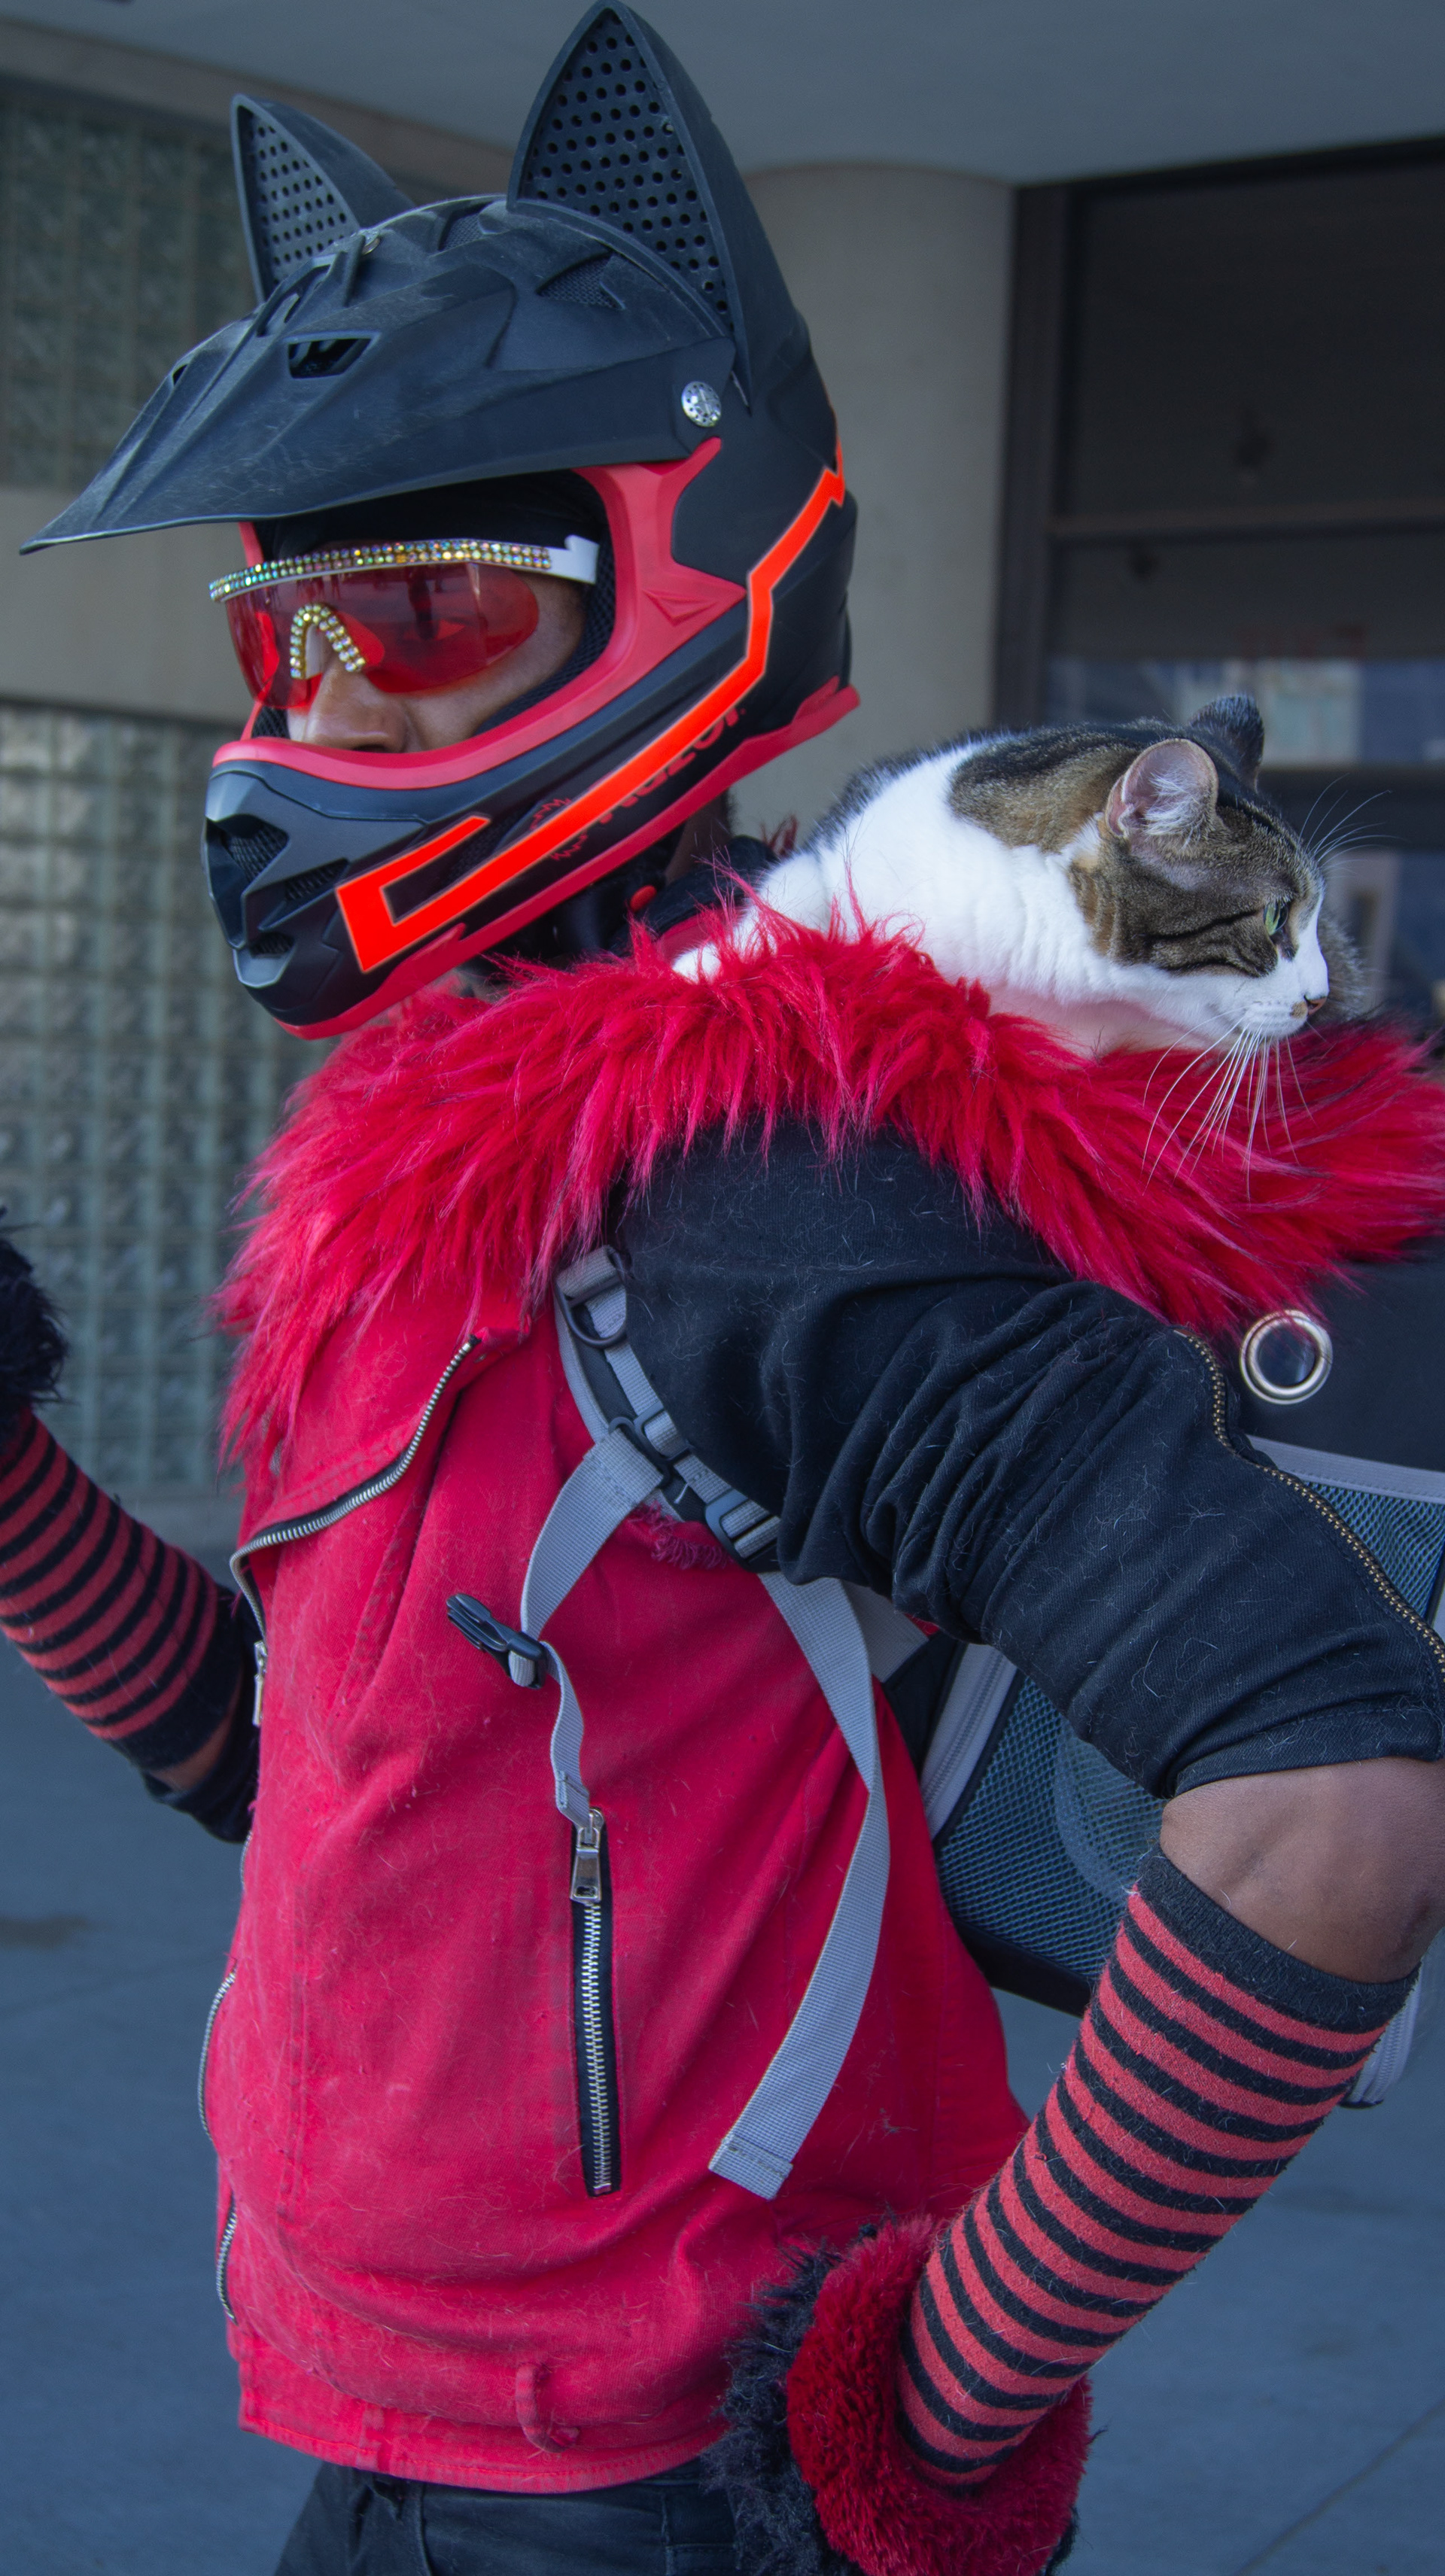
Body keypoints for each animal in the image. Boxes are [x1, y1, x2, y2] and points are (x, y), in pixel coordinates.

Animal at [719, 695, 1362, 1058]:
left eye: (1312, 918)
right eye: (1275, 916)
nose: (1320, 998)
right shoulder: (843, 843)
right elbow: (789, 896)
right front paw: (705, 975)